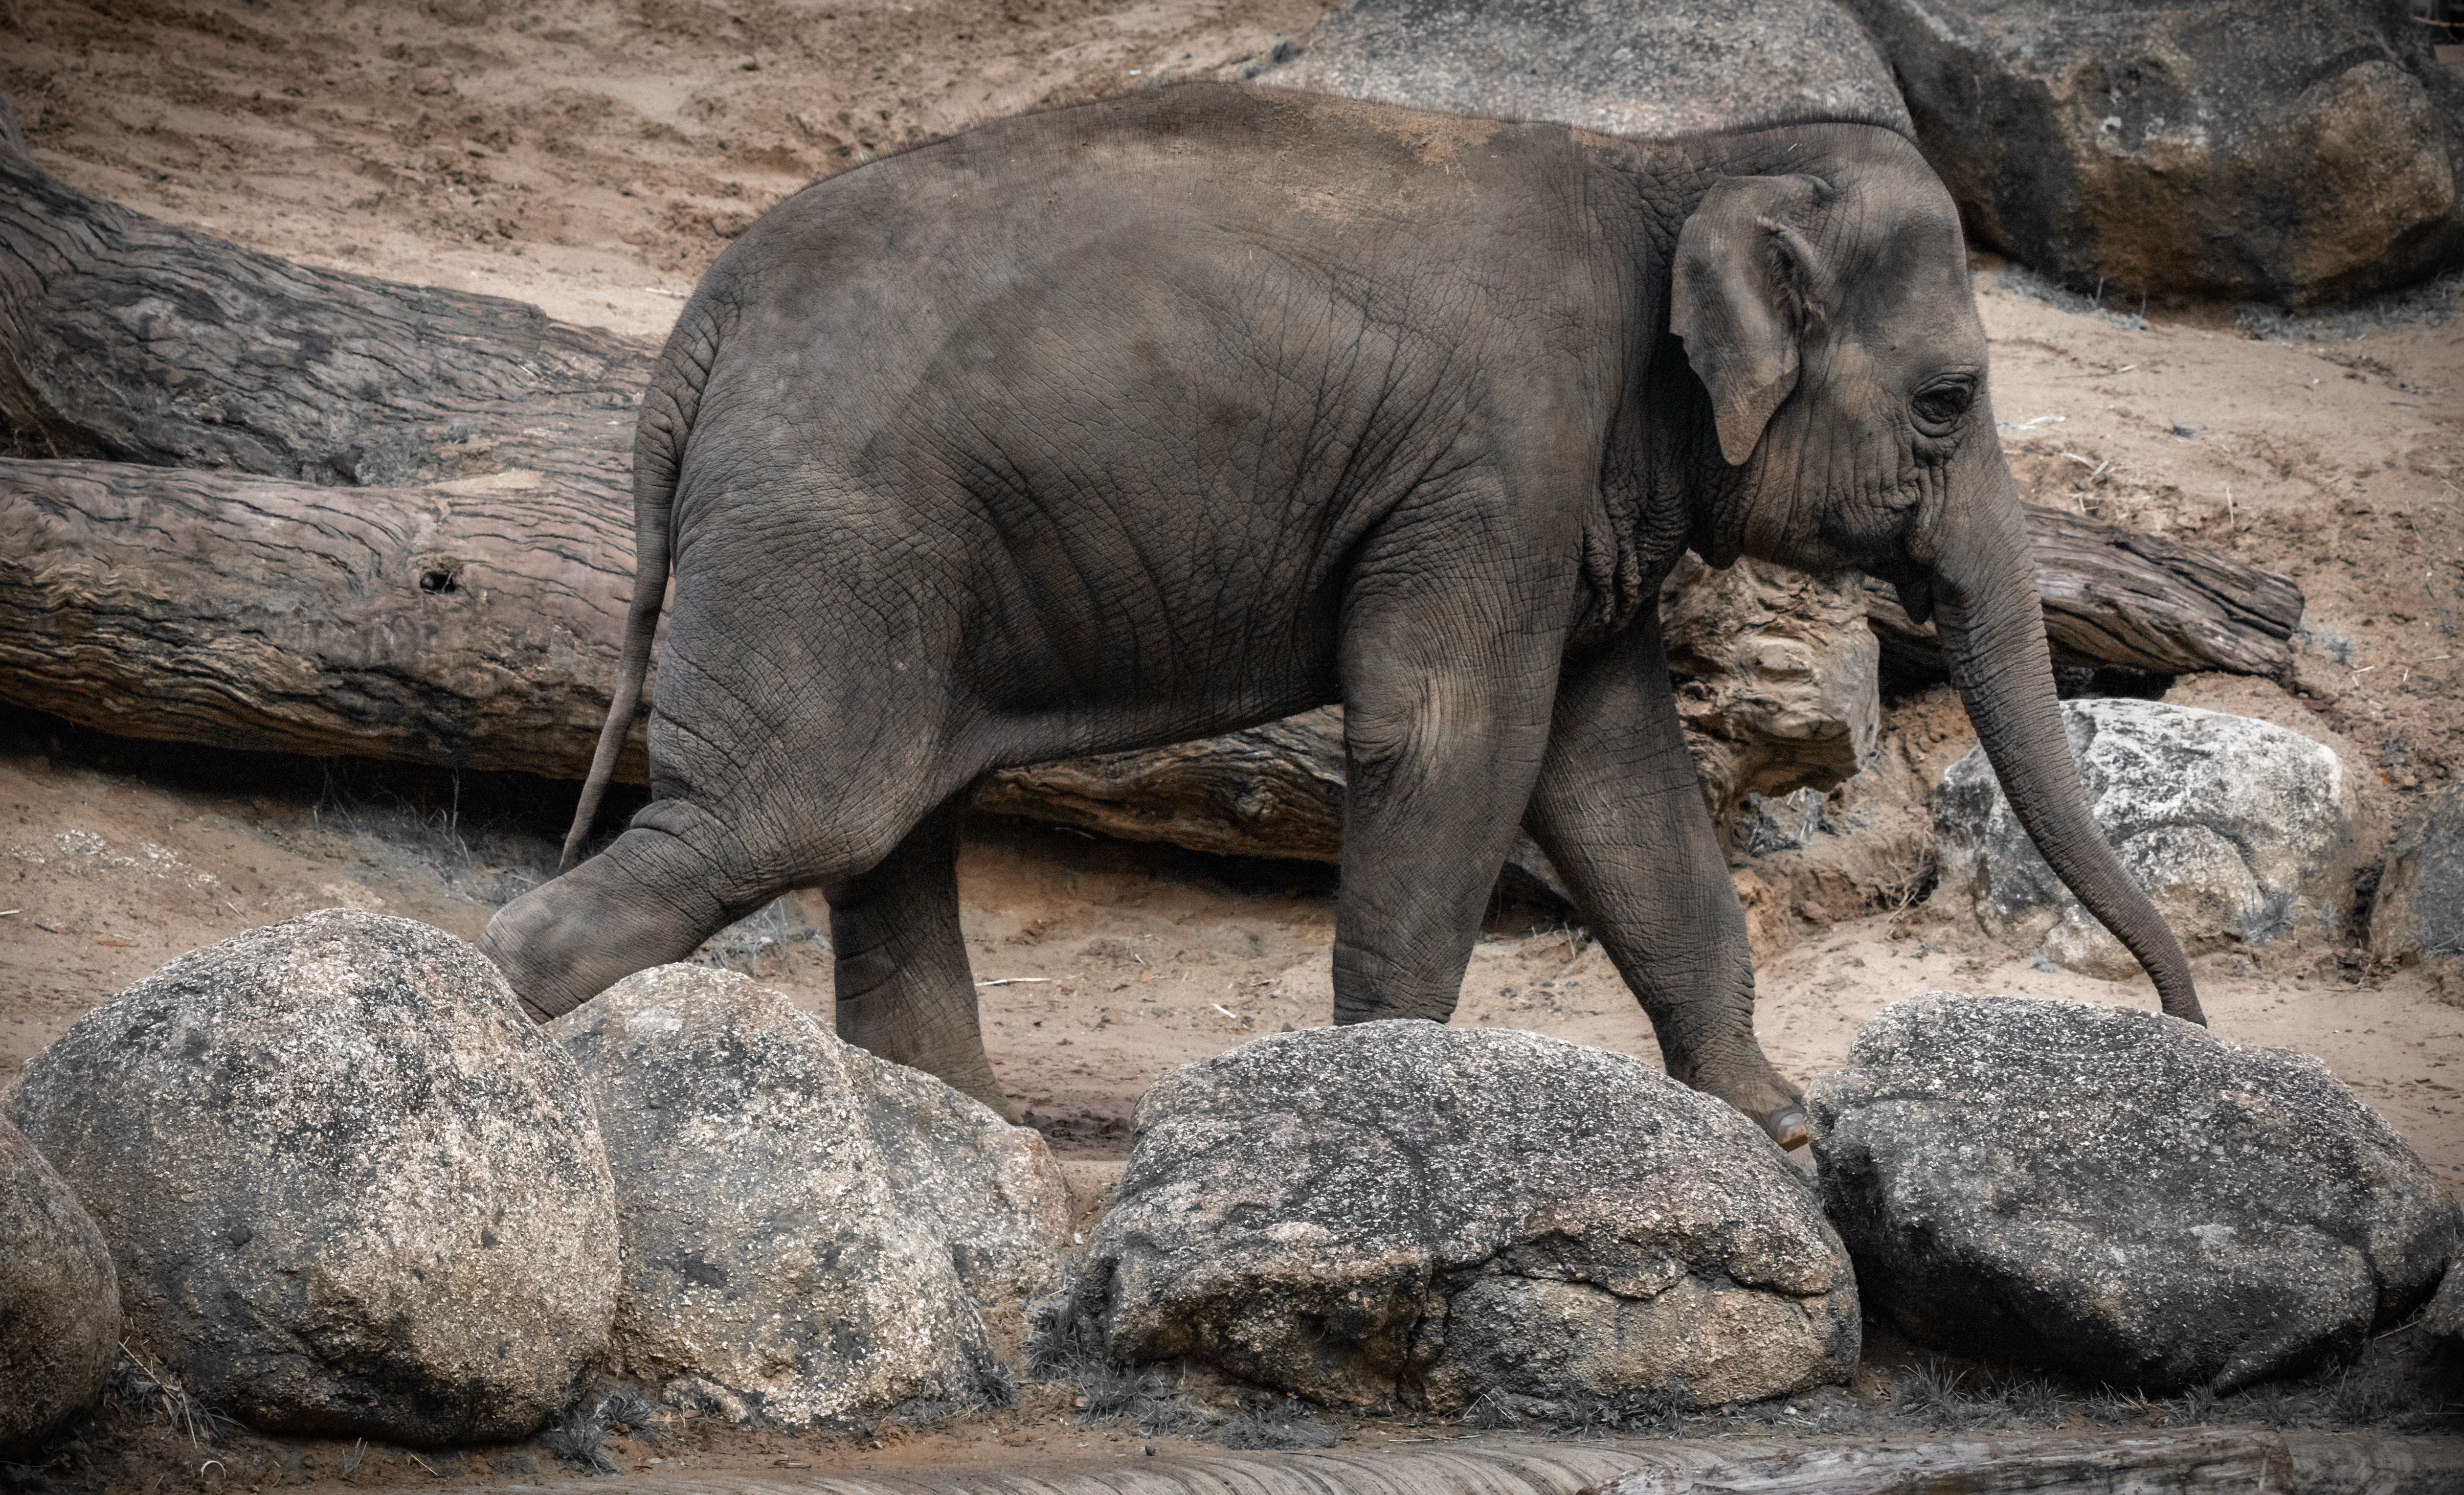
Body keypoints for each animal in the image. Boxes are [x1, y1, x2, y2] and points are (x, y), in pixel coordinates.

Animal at [482, 83, 2203, 1149]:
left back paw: (978, 1134)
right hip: (829, 538)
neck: (1672, 162)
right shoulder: (1495, 463)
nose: (2186, 1019)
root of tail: (696, 332)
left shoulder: (1564, 494)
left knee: (888, 825)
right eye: (1949, 400)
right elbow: (1449, 737)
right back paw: (497, 1014)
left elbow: (1611, 775)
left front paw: (1773, 1121)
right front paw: (1383, 1087)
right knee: (796, 816)